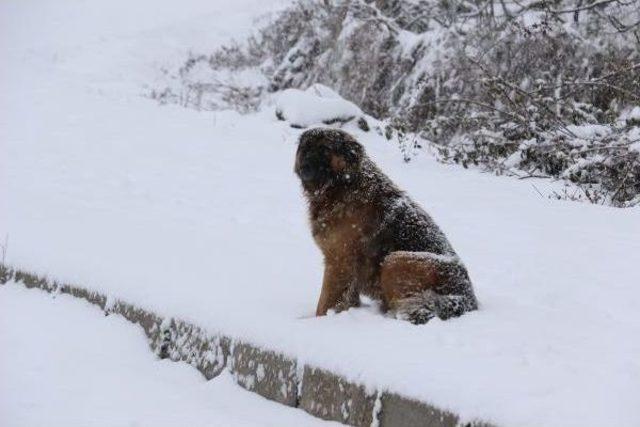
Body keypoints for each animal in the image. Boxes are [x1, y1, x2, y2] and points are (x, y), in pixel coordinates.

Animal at [296, 127, 476, 324]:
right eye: (305, 148)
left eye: (325, 149)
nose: (304, 167)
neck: (342, 186)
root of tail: (467, 300)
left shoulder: (339, 261)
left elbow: (324, 303)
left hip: (395, 260)